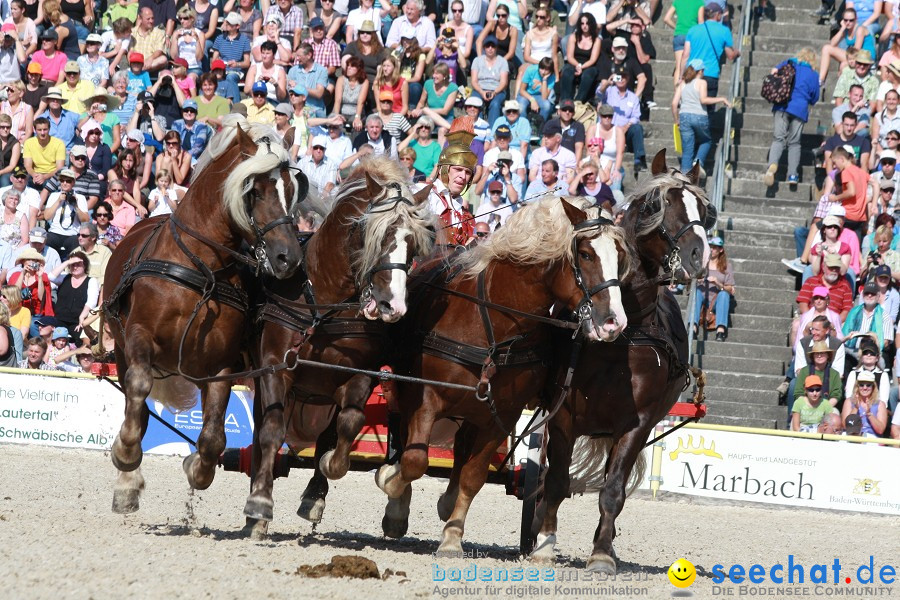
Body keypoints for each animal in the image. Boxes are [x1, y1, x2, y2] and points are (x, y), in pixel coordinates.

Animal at [103, 119, 308, 512]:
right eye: (254, 191)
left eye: (292, 189)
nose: (288, 258)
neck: (202, 268)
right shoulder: (138, 337)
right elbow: (139, 390)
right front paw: (125, 455)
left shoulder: (221, 365)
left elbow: (213, 437)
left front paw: (197, 466)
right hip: (120, 350)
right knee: (134, 403)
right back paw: (125, 483)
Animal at [241, 156, 434, 540]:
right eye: (373, 234)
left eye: (414, 245)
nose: (393, 306)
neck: (324, 303)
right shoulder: (275, 369)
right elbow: (271, 431)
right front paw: (259, 505)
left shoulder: (357, 376)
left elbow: (349, 424)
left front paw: (324, 475)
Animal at [372, 198, 632, 556]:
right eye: (585, 254)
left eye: (620, 256)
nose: (613, 322)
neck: (494, 322)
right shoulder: (426, 396)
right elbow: (414, 459)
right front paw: (389, 482)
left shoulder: (503, 414)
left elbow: (473, 475)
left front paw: (452, 536)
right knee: (404, 436)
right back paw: (396, 509)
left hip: (477, 408)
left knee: (461, 447)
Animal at [528, 149, 716, 572]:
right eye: (655, 205)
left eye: (705, 210)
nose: (698, 256)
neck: (620, 340)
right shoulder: (563, 415)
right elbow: (556, 482)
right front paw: (543, 543)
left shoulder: (637, 423)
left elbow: (613, 489)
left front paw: (601, 553)